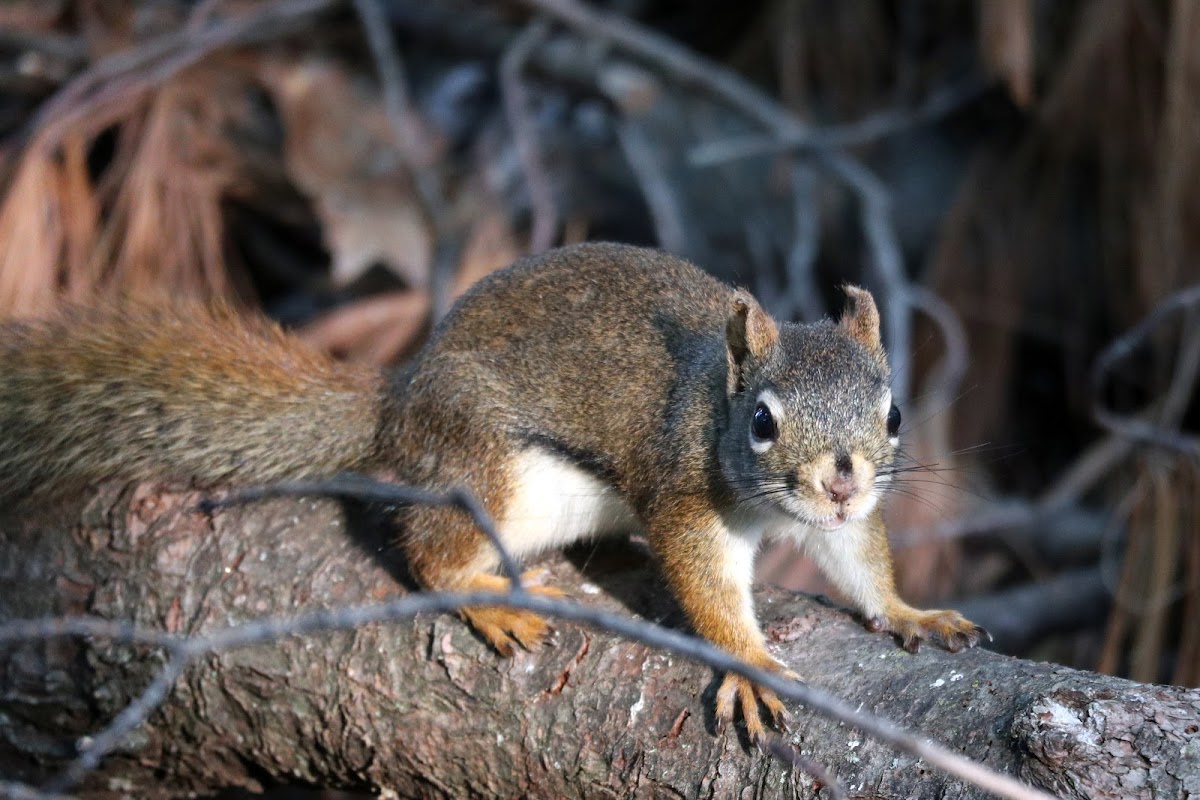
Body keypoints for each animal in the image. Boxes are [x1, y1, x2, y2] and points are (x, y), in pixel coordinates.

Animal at [0, 241, 984, 743]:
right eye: (764, 424)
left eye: (894, 413)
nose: (840, 479)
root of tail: (400, 403)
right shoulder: (684, 494)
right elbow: (706, 585)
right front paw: (747, 663)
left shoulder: (843, 521)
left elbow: (857, 561)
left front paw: (911, 612)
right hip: (493, 472)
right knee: (427, 552)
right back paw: (489, 596)